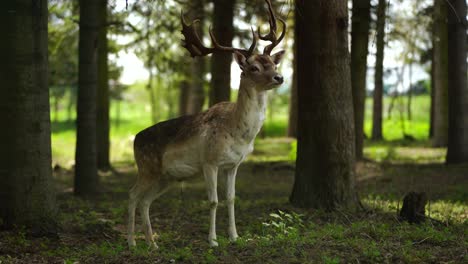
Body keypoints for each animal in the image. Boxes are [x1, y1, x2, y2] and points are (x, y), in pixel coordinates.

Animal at [128, 0, 288, 249]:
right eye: (253, 68)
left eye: (272, 63)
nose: (279, 78)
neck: (238, 133)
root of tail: (135, 138)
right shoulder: (209, 161)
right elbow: (213, 201)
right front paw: (212, 241)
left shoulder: (233, 165)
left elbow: (231, 198)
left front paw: (234, 236)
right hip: (147, 167)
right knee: (132, 196)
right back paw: (132, 243)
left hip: (166, 177)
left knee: (145, 201)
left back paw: (152, 243)